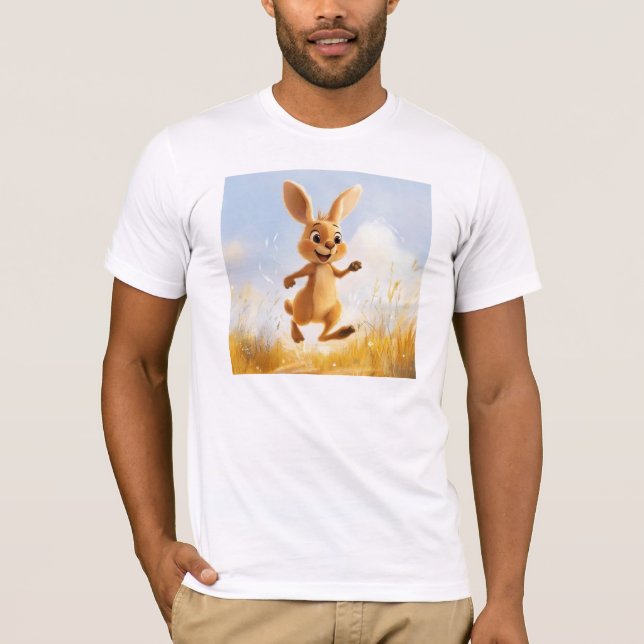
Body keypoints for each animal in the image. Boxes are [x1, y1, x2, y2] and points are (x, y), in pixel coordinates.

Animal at [282, 179, 363, 343]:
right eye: (316, 237)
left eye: (338, 238)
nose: (331, 245)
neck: (323, 265)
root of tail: (316, 320)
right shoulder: (310, 267)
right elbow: (300, 272)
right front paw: (288, 281)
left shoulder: (331, 266)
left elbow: (339, 274)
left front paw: (354, 265)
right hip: (303, 309)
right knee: (294, 320)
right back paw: (297, 336)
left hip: (334, 311)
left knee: (322, 337)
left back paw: (344, 332)